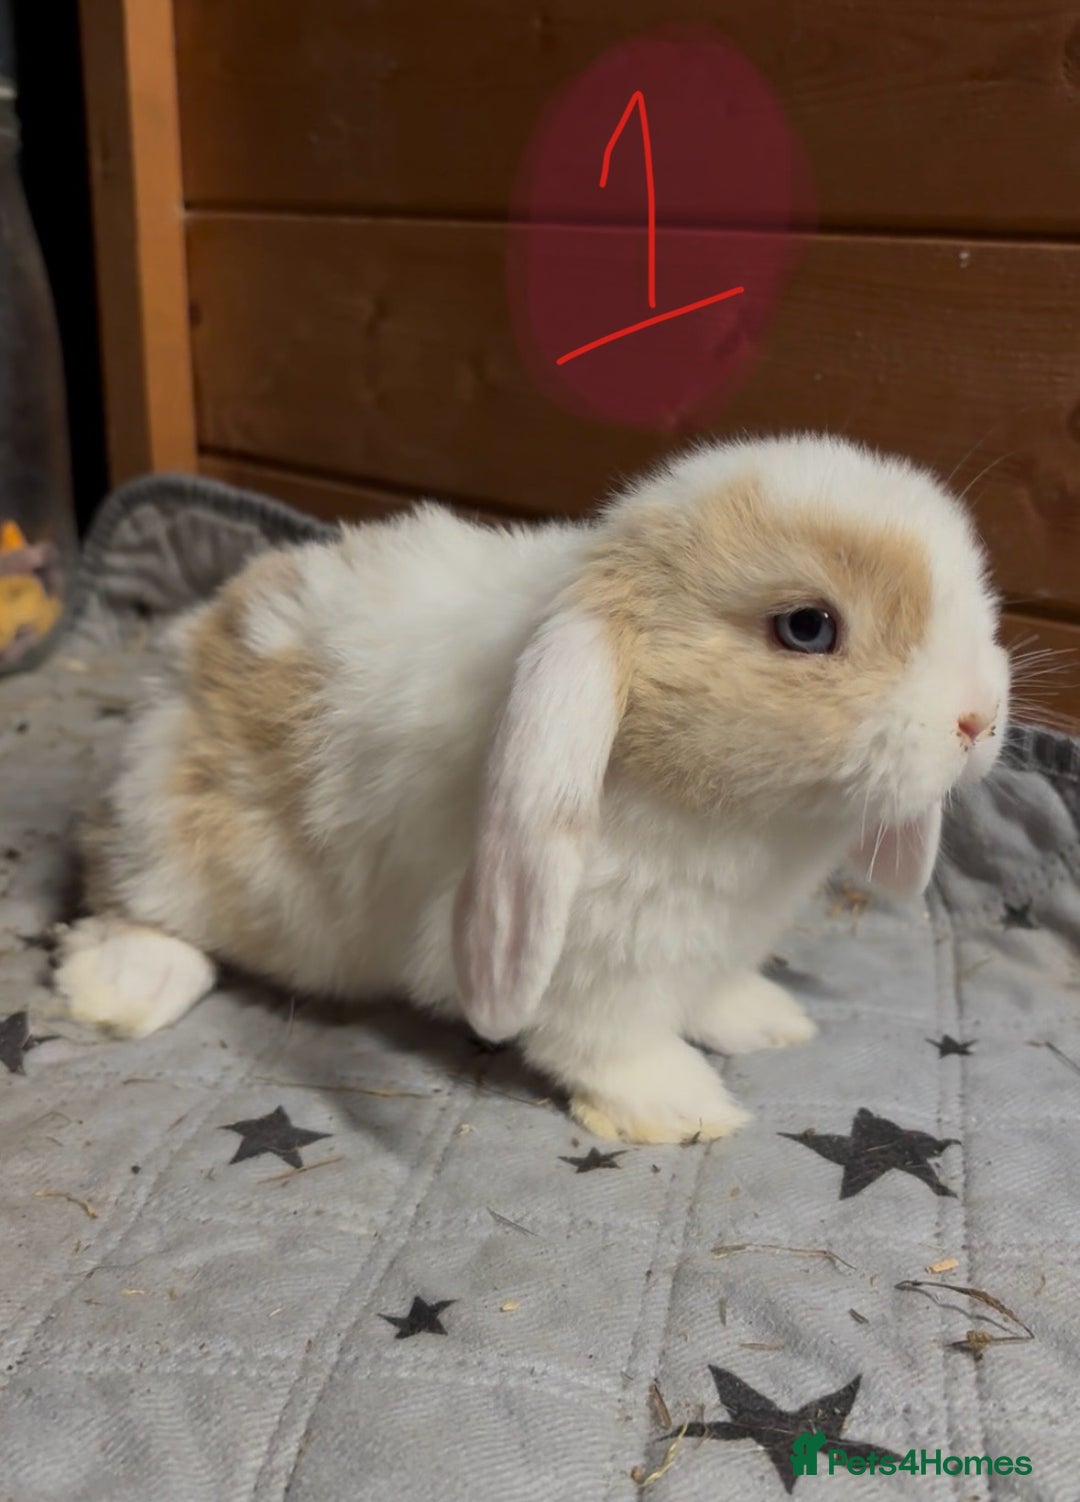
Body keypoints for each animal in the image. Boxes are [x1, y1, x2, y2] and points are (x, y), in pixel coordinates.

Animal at [53, 433, 1010, 1143]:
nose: (980, 717)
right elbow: (606, 1039)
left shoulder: (714, 938)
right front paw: (682, 1105)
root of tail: (179, 662)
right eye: (808, 627)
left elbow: (714, 990)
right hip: (178, 848)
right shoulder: (587, 957)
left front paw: (766, 1021)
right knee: (137, 910)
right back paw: (121, 989)